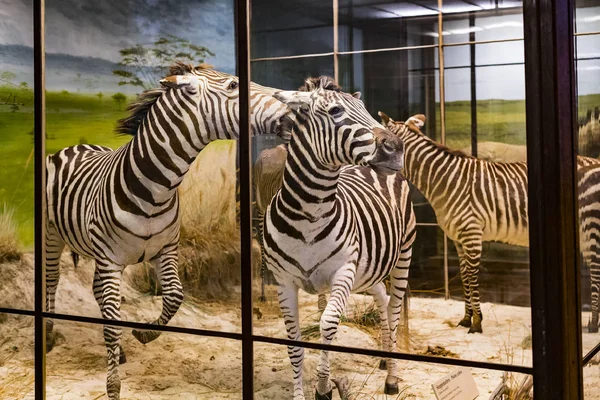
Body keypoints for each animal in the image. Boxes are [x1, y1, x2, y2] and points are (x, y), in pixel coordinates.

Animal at [44, 62, 290, 400]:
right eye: (232, 85)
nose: (293, 111)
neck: (155, 188)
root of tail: (76, 146)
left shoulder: (165, 250)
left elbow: (174, 296)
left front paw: (143, 333)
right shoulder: (110, 259)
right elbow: (112, 324)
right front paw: (113, 387)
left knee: (96, 291)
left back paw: (119, 352)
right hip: (53, 236)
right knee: (52, 281)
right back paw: (48, 337)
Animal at [264, 76, 418, 398]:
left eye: (366, 109)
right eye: (335, 111)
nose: (397, 148)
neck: (309, 215)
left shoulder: (343, 272)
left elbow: (328, 324)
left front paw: (323, 387)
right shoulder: (282, 281)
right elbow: (293, 342)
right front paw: (300, 393)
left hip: (403, 255)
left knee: (394, 310)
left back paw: (391, 378)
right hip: (369, 269)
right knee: (382, 298)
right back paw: (384, 359)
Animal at [380, 111, 600, 334]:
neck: (446, 181)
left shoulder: (471, 232)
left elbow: (472, 276)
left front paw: (477, 323)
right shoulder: (458, 239)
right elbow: (464, 275)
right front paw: (466, 318)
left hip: (591, 223)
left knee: (596, 268)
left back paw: (592, 324)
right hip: (583, 230)